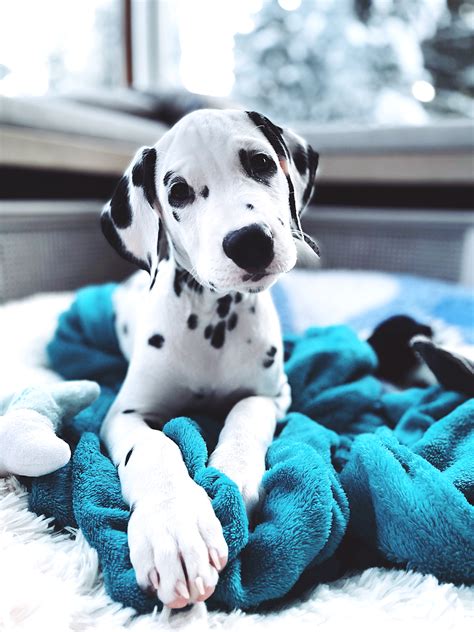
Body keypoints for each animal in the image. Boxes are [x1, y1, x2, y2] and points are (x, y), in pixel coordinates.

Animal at [99, 107, 318, 608]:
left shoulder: (273, 394)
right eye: (178, 191)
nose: (249, 241)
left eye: (261, 163)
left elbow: (245, 414)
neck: (214, 318)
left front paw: (231, 476)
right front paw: (175, 529)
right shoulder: (123, 414)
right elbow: (155, 447)